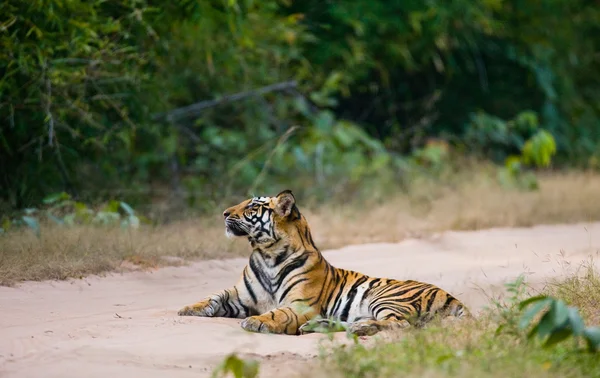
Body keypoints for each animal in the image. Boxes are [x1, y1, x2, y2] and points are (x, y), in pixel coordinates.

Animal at [178, 190, 468, 336]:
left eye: (251, 207)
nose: (224, 213)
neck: (267, 254)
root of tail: (450, 295)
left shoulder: (301, 304)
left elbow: (278, 313)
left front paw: (257, 322)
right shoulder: (240, 297)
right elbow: (214, 296)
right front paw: (188, 309)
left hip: (387, 298)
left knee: (400, 325)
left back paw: (359, 328)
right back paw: (321, 326)